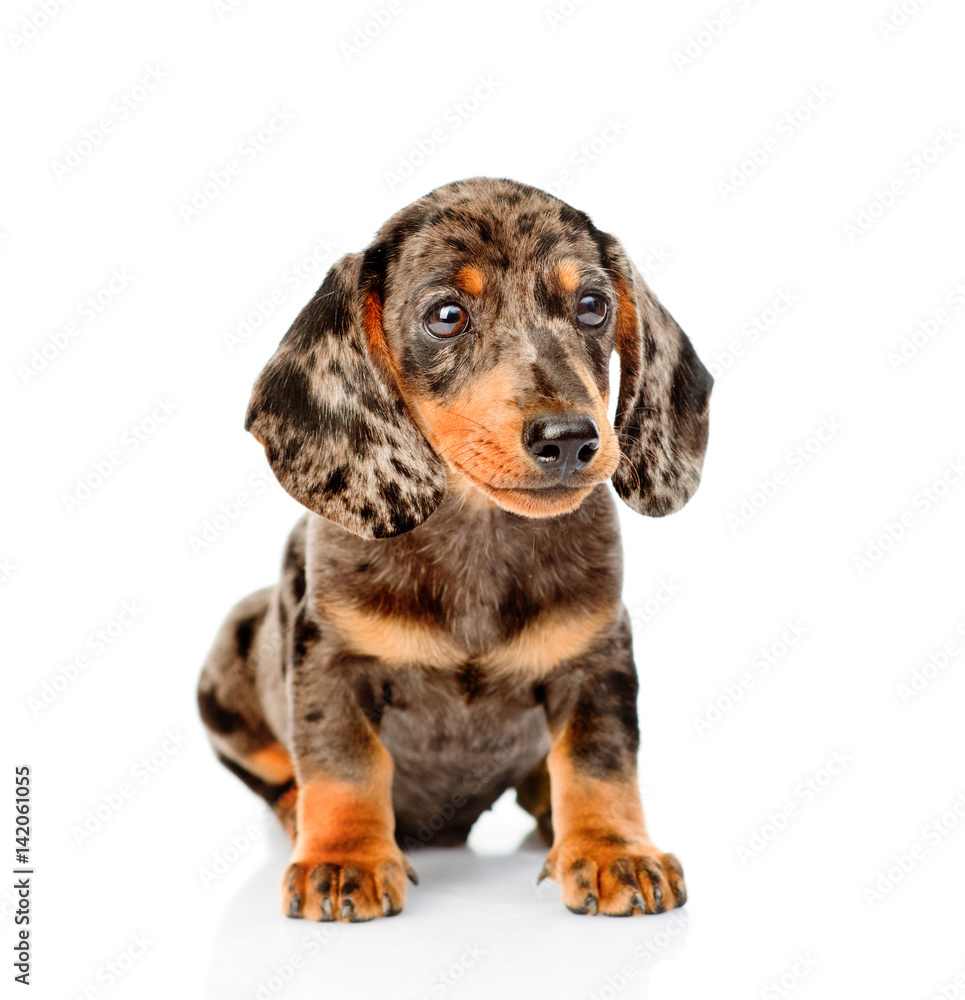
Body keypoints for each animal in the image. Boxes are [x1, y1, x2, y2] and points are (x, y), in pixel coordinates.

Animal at [196, 178, 712, 920]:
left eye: (592, 306)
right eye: (446, 316)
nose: (569, 438)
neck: (479, 531)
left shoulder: (598, 658)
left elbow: (599, 760)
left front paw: (612, 850)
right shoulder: (329, 660)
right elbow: (344, 763)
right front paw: (344, 860)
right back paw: (299, 816)